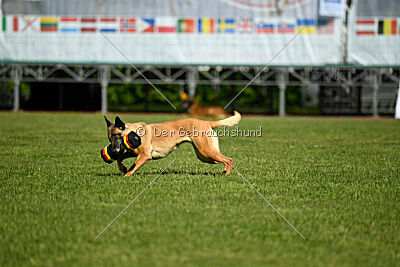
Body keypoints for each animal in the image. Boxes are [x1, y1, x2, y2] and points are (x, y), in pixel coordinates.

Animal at [104, 111, 241, 177]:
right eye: (110, 138)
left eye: (116, 135)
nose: (113, 151)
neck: (134, 132)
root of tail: (207, 122)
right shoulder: (132, 153)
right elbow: (120, 159)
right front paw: (123, 168)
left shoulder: (145, 156)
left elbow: (134, 166)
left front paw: (126, 176)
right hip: (205, 156)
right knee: (224, 160)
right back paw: (224, 171)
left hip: (206, 152)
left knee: (229, 160)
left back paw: (227, 174)